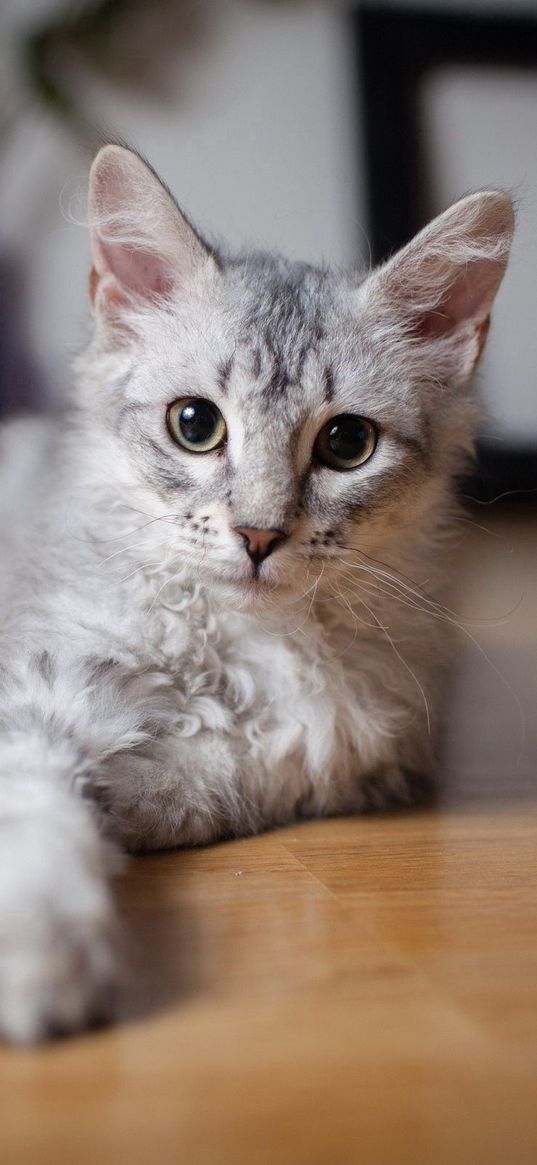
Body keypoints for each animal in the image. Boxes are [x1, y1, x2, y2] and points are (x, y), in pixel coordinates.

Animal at [0, 147, 510, 1048]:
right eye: (194, 424)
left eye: (346, 443)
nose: (259, 534)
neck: (235, 651)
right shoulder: (35, 691)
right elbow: (38, 820)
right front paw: (43, 957)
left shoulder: (345, 752)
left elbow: (207, 779)